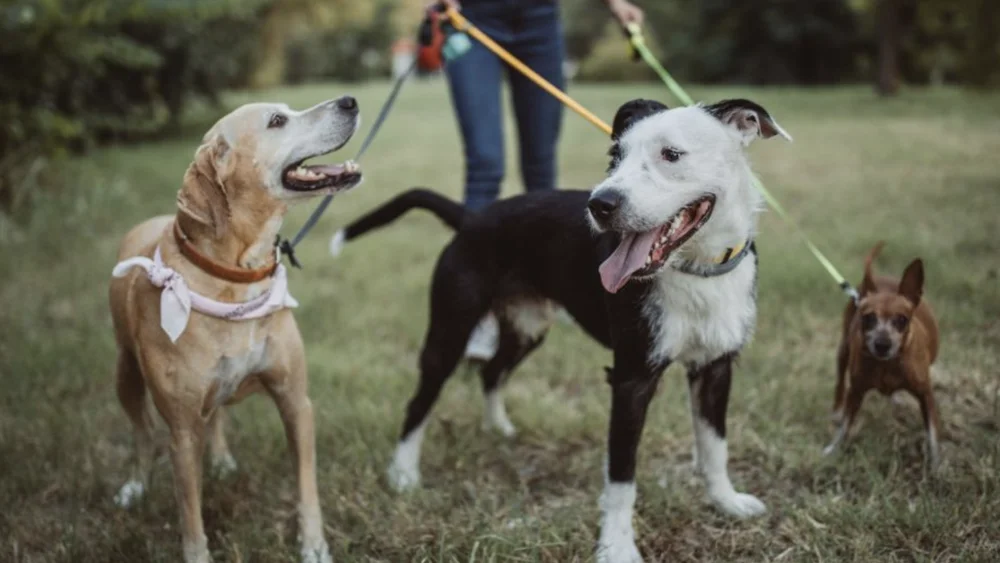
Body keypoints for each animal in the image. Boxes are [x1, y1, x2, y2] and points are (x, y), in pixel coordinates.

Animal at [111, 98, 362, 563]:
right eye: (277, 121)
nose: (349, 101)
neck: (236, 276)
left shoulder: (295, 402)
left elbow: (306, 486)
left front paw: (313, 545)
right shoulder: (181, 433)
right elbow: (190, 514)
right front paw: (197, 554)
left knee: (215, 416)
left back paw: (222, 459)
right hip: (125, 373)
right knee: (142, 433)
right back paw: (135, 485)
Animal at [328, 99, 788, 560]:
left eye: (671, 154)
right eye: (615, 155)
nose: (600, 205)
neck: (697, 270)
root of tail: (472, 218)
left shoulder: (715, 368)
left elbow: (715, 447)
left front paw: (726, 503)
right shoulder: (631, 378)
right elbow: (621, 476)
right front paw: (616, 546)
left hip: (527, 330)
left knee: (492, 371)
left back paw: (498, 428)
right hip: (450, 332)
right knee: (420, 403)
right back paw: (403, 474)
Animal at [824, 245, 940, 470]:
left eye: (902, 320)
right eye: (868, 317)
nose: (882, 344)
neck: (888, 365)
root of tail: (879, 278)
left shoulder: (926, 395)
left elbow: (932, 433)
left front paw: (937, 465)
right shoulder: (856, 392)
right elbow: (845, 426)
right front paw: (833, 450)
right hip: (843, 351)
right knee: (840, 381)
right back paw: (836, 410)